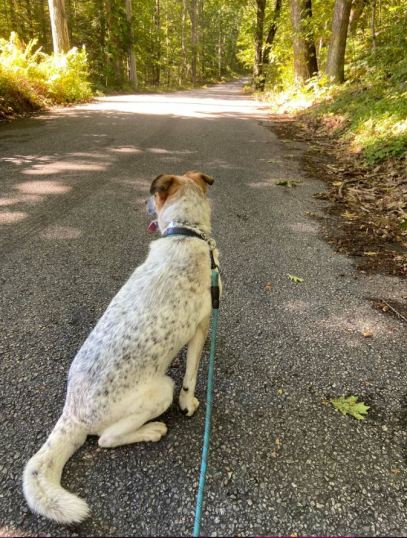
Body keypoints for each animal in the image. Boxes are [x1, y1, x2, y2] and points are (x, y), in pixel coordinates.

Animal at [22, 170, 220, 520]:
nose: (143, 205)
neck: (187, 230)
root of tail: (71, 413)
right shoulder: (201, 327)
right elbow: (192, 376)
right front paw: (189, 404)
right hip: (161, 389)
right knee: (107, 439)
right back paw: (151, 431)